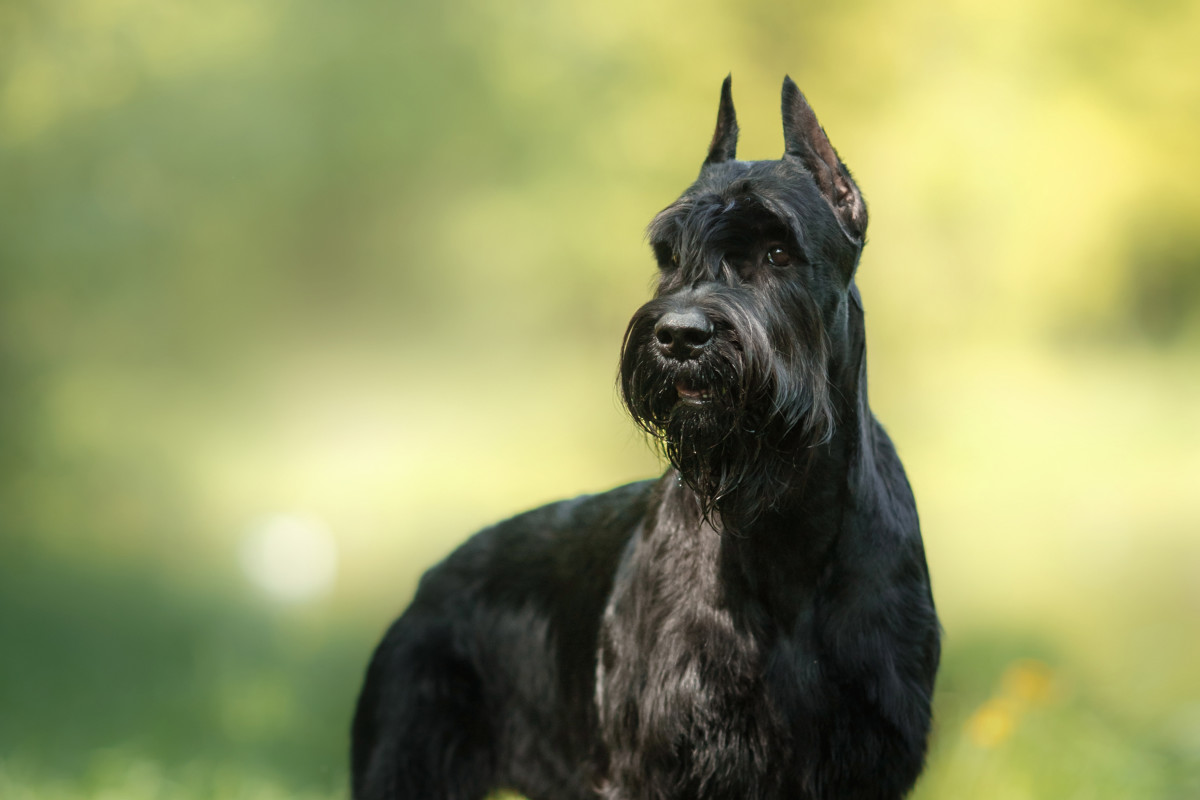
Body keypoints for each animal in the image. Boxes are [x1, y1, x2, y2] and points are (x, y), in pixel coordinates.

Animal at [350, 76, 940, 800]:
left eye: (778, 251)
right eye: (669, 254)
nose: (680, 335)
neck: (785, 528)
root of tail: (427, 584)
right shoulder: (658, 759)